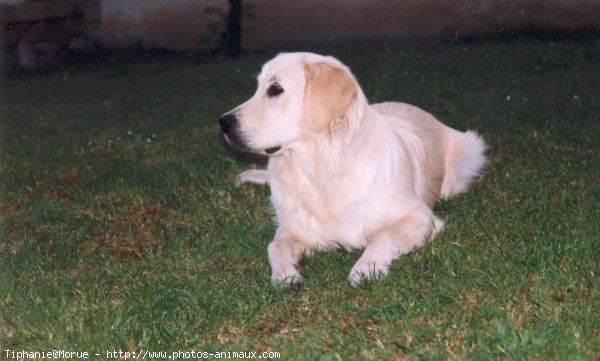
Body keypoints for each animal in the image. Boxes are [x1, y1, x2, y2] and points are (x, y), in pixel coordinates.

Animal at [218, 52, 486, 286]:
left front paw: (366, 268)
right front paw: (285, 275)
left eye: (275, 89)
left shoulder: (420, 217)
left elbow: (383, 236)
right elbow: (274, 246)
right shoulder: (294, 230)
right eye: (257, 88)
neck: (321, 169)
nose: (223, 122)